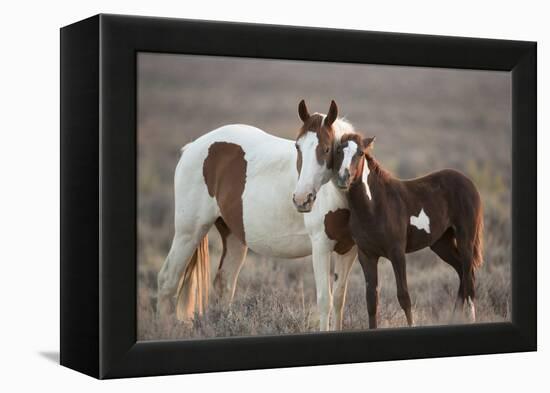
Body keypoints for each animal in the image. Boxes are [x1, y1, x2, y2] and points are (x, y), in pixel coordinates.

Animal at [157, 99, 356, 330]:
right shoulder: (321, 247)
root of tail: (192, 147)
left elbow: (339, 300)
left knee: (225, 284)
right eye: (297, 146)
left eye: (327, 149)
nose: (301, 199)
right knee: (168, 280)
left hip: (233, 237)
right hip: (188, 233)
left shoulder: (348, 250)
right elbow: (325, 300)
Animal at [334, 133, 486, 326]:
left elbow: (404, 297)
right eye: (339, 150)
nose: (343, 178)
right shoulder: (367, 256)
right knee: (461, 273)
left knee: (469, 279)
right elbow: (371, 301)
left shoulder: (397, 253)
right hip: (441, 243)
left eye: (360, 153)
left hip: (466, 239)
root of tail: (468, 182)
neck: (375, 206)